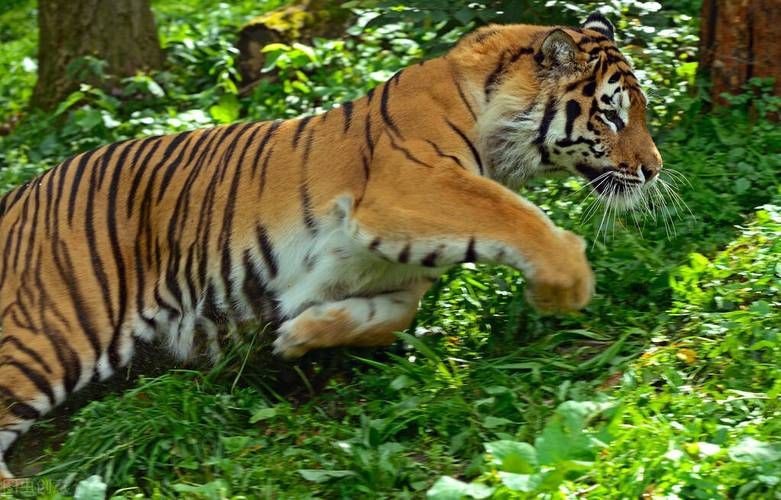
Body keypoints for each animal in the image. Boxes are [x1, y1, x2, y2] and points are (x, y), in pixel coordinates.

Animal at [0, 12, 662, 478]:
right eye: (610, 115)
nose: (655, 170)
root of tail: (18, 195)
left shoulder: (388, 265)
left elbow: (391, 316)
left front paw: (298, 336)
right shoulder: (412, 187)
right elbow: (518, 216)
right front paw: (565, 286)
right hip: (54, 332)